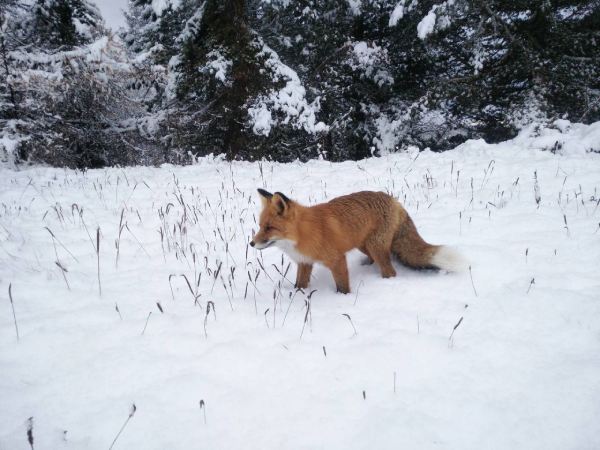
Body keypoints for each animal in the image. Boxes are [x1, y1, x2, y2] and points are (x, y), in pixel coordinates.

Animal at [248, 188, 464, 294]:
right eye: (260, 225)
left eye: (269, 228)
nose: (251, 244)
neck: (303, 233)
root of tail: (393, 200)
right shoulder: (305, 262)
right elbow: (300, 286)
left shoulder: (337, 260)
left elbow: (343, 287)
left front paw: (343, 299)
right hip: (363, 245)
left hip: (375, 247)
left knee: (390, 271)